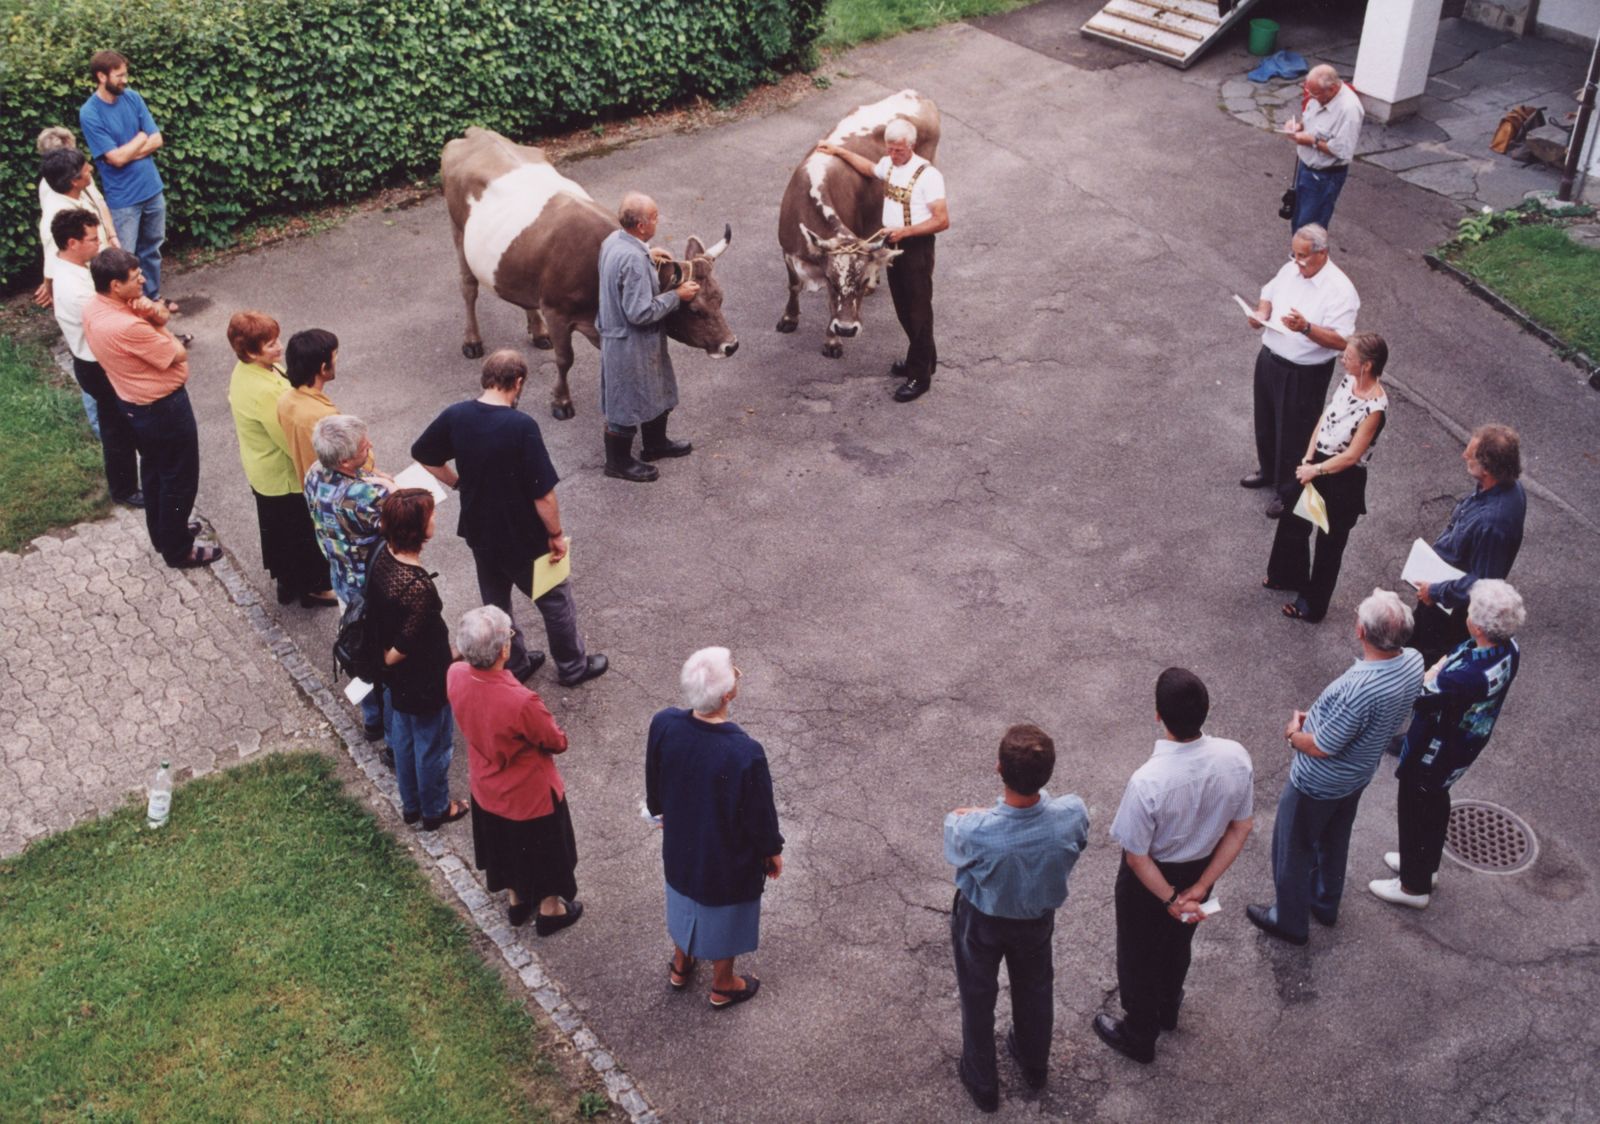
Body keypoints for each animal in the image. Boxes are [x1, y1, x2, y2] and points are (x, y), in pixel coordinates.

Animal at [438, 124, 736, 422]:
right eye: (695, 310)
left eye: (721, 299)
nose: (731, 345)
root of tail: (477, 133)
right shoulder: (556, 312)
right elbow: (564, 359)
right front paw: (561, 402)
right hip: (457, 231)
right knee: (468, 288)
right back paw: (472, 341)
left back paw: (539, 333)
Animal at [774, 91, 934, 357]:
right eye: (830, 279)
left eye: (859, 282)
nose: (847, 329)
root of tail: (914, 94)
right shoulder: (787, 250)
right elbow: (794, 285)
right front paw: (789, 319)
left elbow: (831, 304)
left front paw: (832, 341)